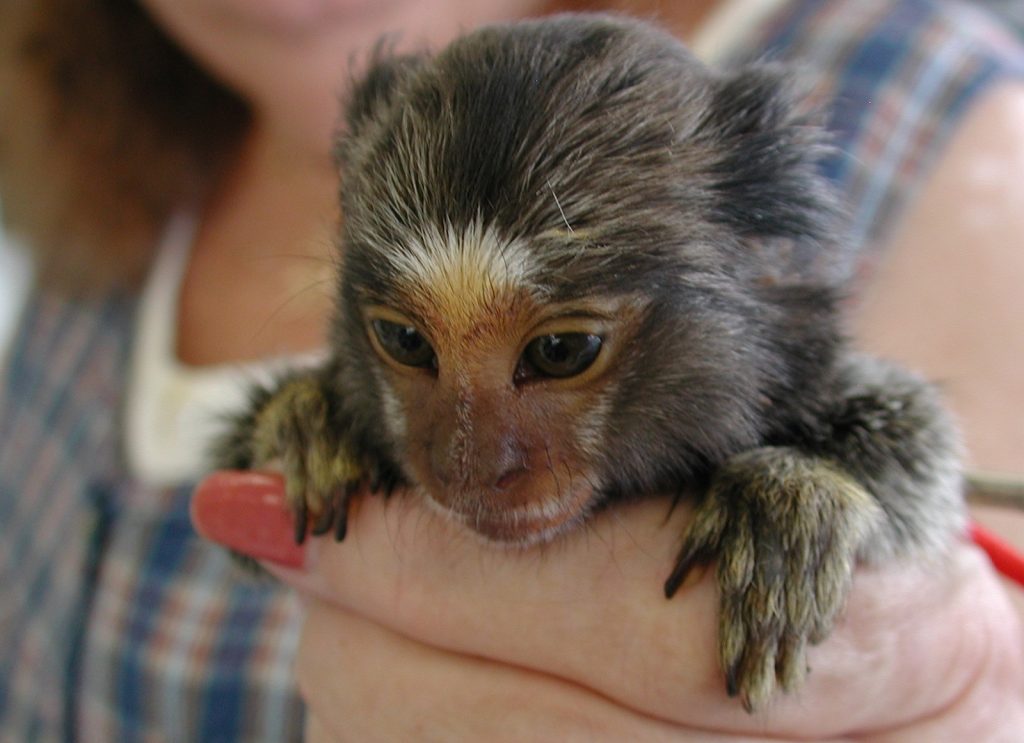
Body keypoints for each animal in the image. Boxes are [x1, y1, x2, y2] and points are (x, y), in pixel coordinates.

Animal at [211, 11, 962, 708]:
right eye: (405, 341)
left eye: (561, 351)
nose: (466, 469)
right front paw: (309, 423)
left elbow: (920, 457)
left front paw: (790, 499)